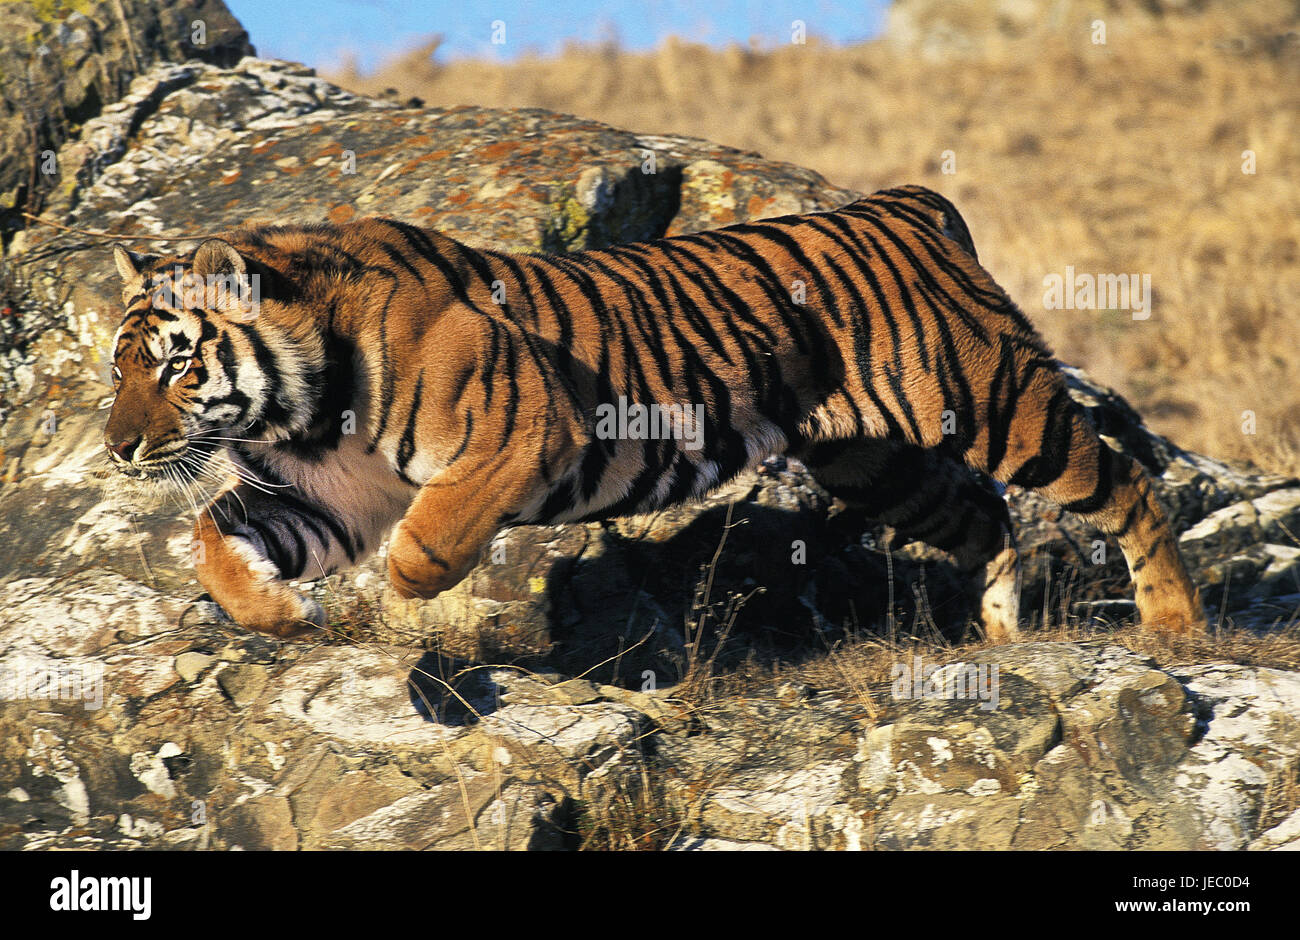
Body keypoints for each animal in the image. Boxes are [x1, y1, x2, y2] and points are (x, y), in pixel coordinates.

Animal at [104, 183, 1206, 642]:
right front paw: (280, 611)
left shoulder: (524, 425)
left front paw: (422, 600)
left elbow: (428, 537)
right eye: (116, 369)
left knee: (1128, 485)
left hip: (999, 404)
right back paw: (997, 639)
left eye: (174, 364)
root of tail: (902, 201)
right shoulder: (329, 497)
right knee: (984, 516)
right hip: (879, 462)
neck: (308, 406)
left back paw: (1175, 627)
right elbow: (213, 538)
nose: (115, 448)